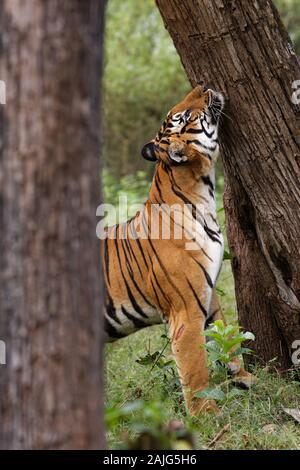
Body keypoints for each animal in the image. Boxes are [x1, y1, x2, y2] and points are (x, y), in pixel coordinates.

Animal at [102, 84, 254, 414]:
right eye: (184, 116)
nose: (203, 85)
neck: (203, 192)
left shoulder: (207, 294)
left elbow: (226, 333)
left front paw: (243, 376)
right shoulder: (185, 311)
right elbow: (196, 371)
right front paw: (206, 416)